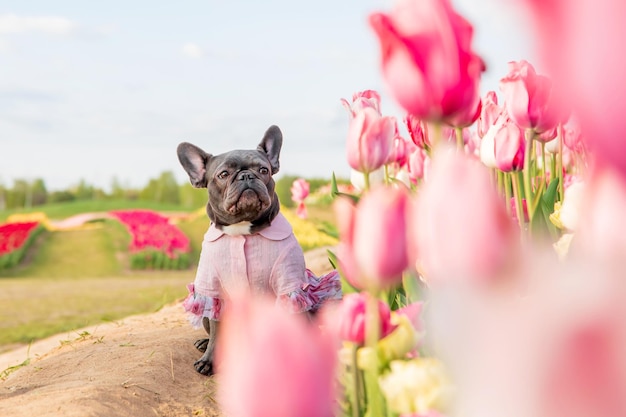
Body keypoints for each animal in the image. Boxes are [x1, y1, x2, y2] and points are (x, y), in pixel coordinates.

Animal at [176, 124, 342, 374]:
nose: (247, 176)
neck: (243, 231)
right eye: (223, 174)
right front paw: (209, 359)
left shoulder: (289, 285)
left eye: (264, 170)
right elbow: (216, 328)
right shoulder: (214, 291)